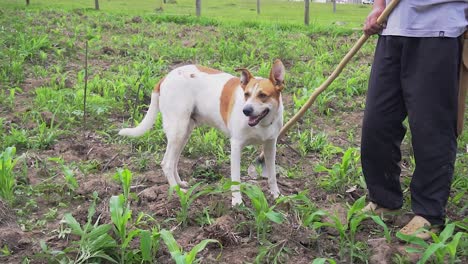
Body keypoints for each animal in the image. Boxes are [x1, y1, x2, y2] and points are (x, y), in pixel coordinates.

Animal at [119, 59, 286, 206]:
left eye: (263, 95)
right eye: (246, 94)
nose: (246, 110)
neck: (262, 124)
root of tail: (166, 77)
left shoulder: (270, 145)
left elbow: (272, 175)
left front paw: (276, 195)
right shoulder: (236, 146)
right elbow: (236, 179)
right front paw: (237, 202)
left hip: (185, 132)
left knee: (174, 161)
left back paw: (180, 183)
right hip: (178, 130)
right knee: (166, 163)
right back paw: (176, 190)